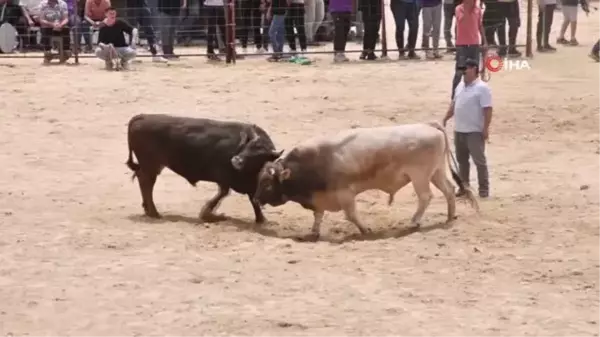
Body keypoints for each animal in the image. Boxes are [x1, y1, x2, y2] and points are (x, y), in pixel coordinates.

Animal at [125, 113, 284, 223]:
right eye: (248, 146)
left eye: (260, 154)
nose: (236, 160)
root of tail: (142, 116)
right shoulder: (225, 178)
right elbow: (223, 193)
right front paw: (209, 214)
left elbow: (252, 199)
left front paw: (261, 219)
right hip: (151, 166)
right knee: (146, 183)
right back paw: (154, 212)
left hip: (152, 166)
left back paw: (148, 210)